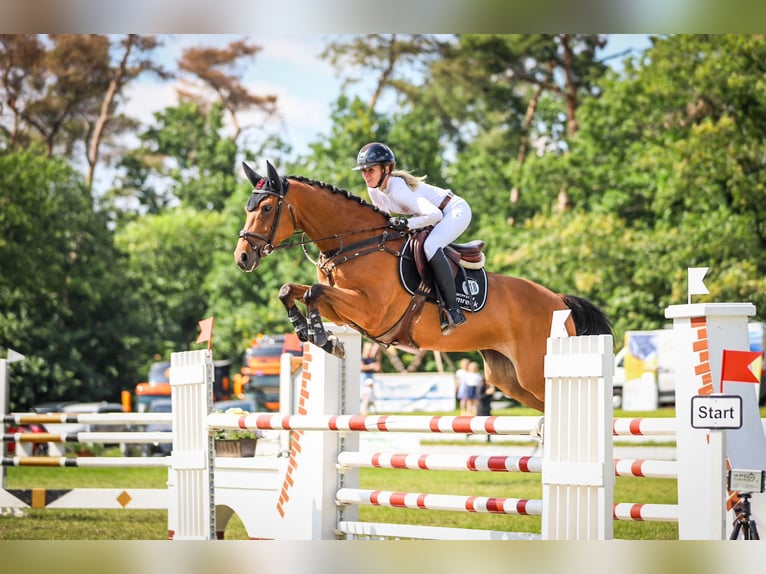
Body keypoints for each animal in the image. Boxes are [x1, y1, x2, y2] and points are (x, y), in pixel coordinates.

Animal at [234, 161, 612, 414]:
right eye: (248, 207)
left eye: (265, 208)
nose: (242, 257)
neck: (357, 243)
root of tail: (558, 300)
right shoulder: (345, 309)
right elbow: (291, 290)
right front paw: (307, 331)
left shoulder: (372, 312)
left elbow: (313, 291)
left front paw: (323, 339)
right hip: (509, 379)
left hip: (534, 371)